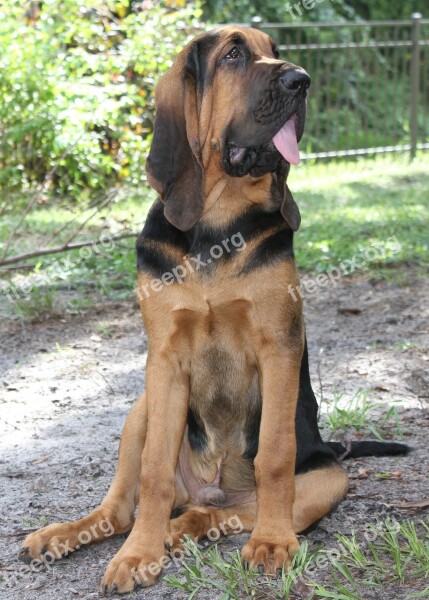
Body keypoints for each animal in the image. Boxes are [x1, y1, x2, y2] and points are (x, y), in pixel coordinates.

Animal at [19, 25, 408, 592]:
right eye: (233, 54)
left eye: (273, 50)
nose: (302, 80)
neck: (216, 228)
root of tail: (210, 488)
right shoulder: (164, 360)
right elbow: (154, 472)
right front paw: (137, 555)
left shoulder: (278, 348)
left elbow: (273, 457)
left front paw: (272, 543)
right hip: (142, 408)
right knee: (121, 509)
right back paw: (74, 533)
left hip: (327, 478)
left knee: (230, 510)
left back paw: (189, 531)